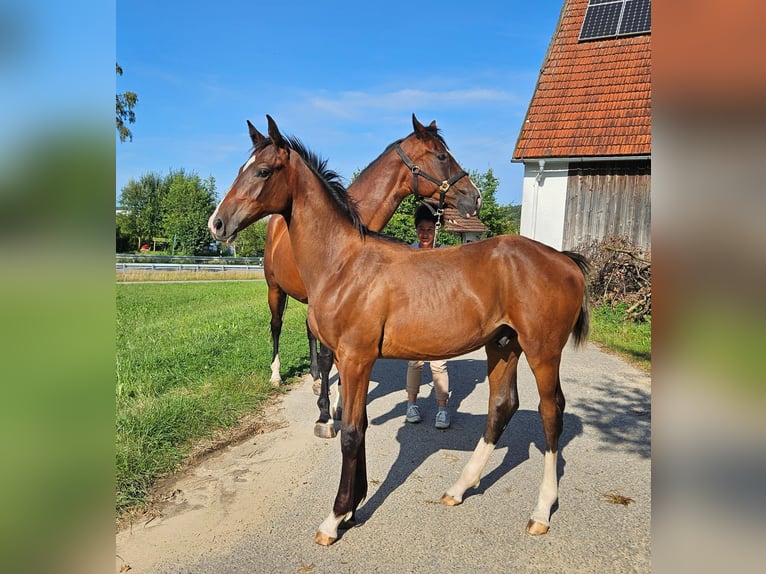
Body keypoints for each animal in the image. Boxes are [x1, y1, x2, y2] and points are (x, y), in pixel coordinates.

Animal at [263, 114, 482, 439]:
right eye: (442, 156)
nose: (475, 198)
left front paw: (339, 405)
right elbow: (329, 359)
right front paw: (325, 416)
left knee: (308, 332)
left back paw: (314, 379)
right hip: (274, 288)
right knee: (276, 326)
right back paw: (276, 375)